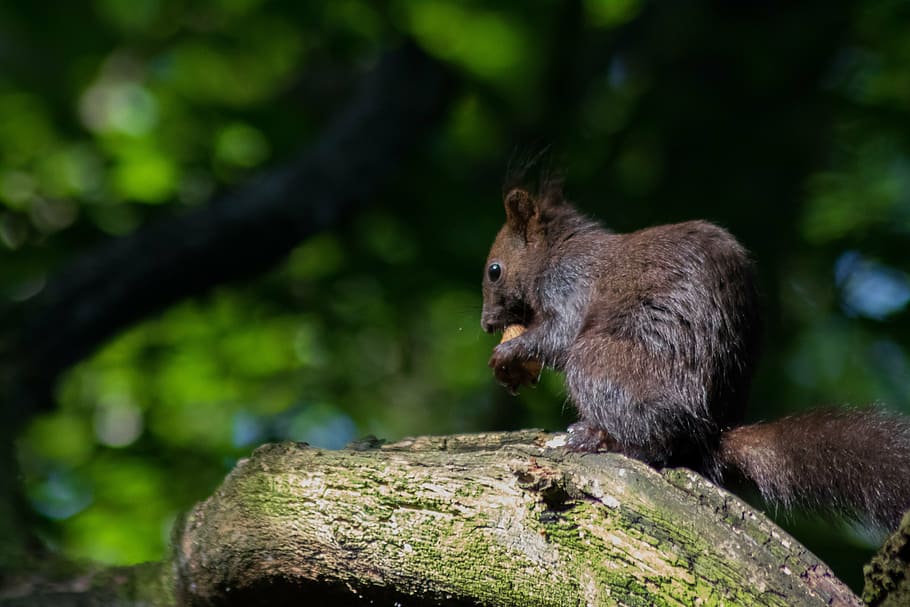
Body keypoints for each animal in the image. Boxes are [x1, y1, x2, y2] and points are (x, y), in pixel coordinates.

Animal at [481, 177, 910, 530]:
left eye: (494, 270)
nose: (486, 324)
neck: (557, 250)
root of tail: (710, 433)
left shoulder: (570, 283)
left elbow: (560, 334)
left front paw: (509, 352)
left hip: (598, 363)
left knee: (655, 442)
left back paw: (597, 437)